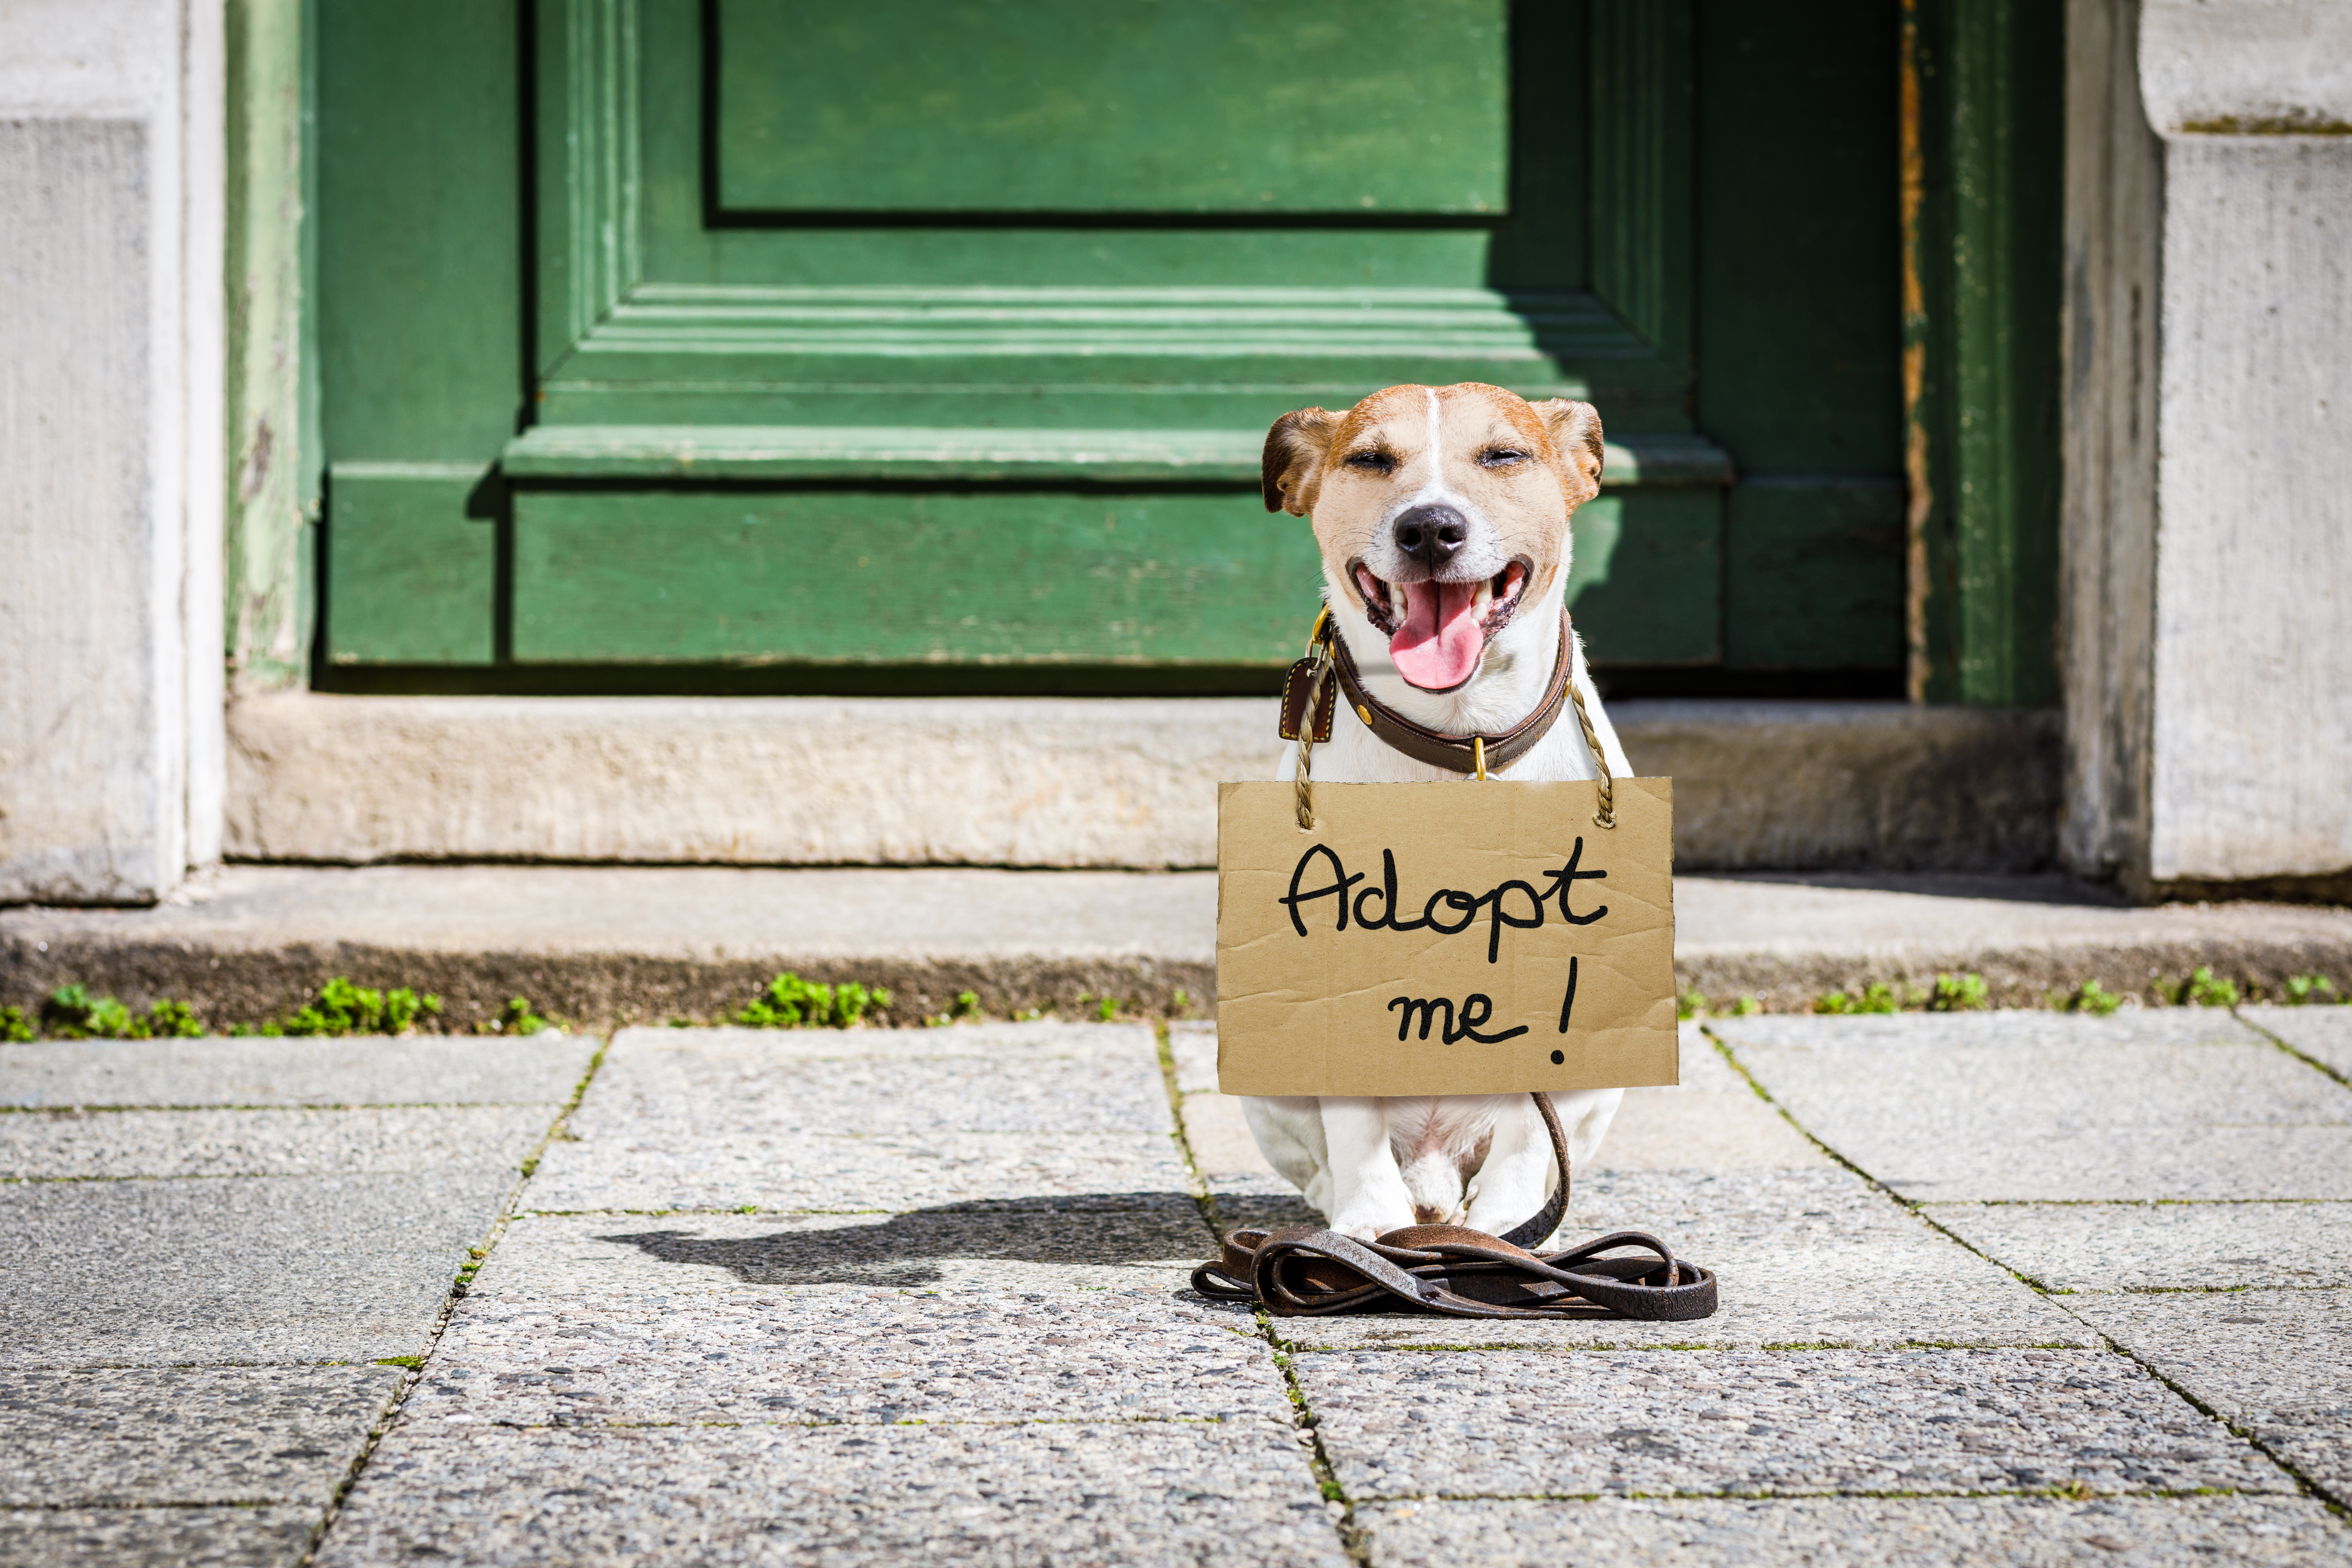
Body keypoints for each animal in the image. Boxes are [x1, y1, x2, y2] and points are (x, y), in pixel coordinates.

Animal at [1242, 383, 1628, 1250]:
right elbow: (1350, 1117)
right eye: (1370, 459)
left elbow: (1529, 1134)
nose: (1429, 528)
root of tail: (1434, 1160)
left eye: (1503, 455)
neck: (1461, 736)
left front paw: (1509, 1223)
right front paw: (1367, 1221)